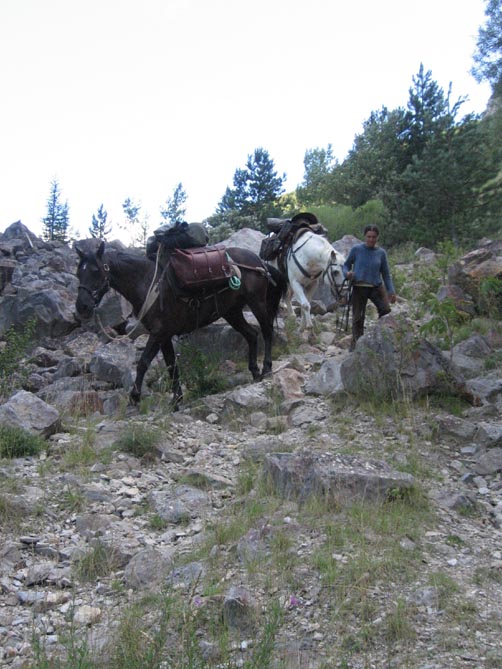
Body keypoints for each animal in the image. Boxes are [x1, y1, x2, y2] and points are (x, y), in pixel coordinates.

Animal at [74, 240, 286, 408]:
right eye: (79, 273)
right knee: (251, 334)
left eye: (96, 271)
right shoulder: (164, 336)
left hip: (257, 303)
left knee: (266, 331)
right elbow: (171, 366)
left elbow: (143, 363)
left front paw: (134, 397)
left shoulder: (158, 333)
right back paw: (255, 372)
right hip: (232, 313)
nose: (82, 307)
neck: (148, 283)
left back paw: (266, 369)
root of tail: (258, 262)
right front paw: (177, 399)